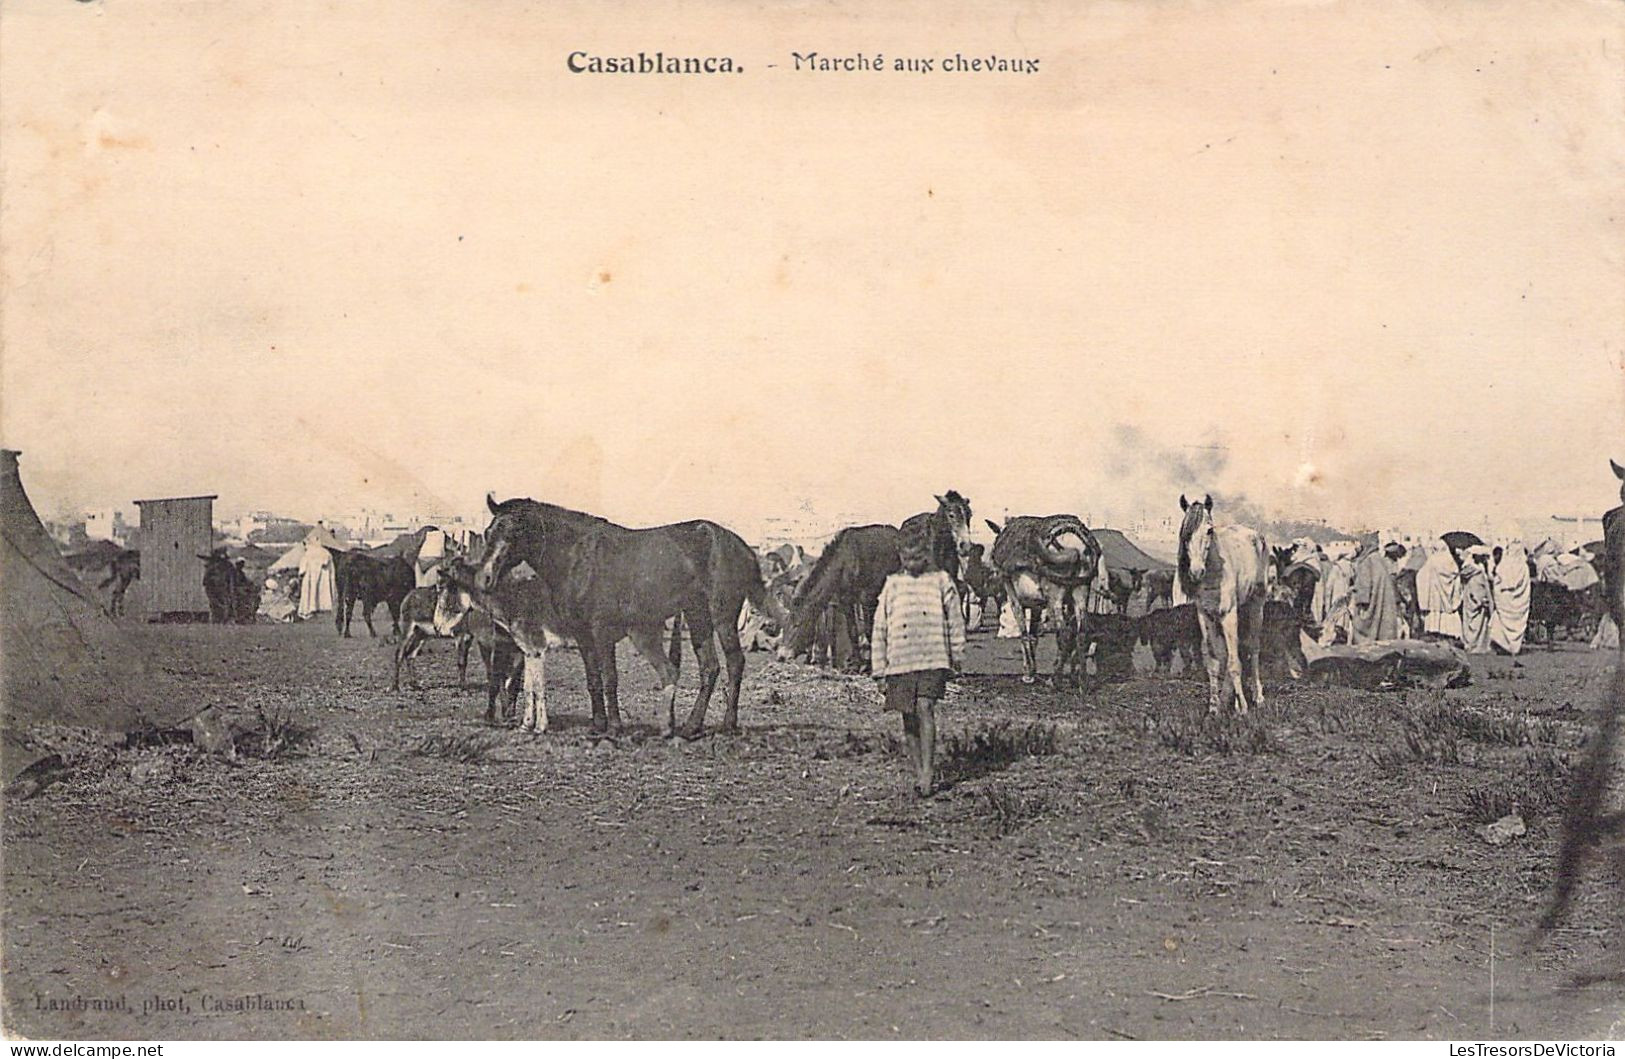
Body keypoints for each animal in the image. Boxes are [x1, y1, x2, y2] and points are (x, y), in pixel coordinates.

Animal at [474, 497, 786, 737]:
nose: (484, 578)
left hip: (722, 618)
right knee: (709, 667)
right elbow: (593, 679)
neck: (577, 556)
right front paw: (598, 726)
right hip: (697, 617)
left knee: (735, 663)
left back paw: (727, 724)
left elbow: (610, 678)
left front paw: (614, 727)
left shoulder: (601, 632)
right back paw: (690, 727)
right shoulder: (583, 634)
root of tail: (740, 546)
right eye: (489, 532)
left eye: (514, 533)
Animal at [988, 513, 1105, 685]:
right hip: (1081, 590)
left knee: (1063, 633)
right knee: (1082, 632)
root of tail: (1074, 541)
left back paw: (1055, 681)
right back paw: (1081, 681)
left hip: (1054, 596)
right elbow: (1034, 636)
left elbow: (1024, 634)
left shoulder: (1014, 599)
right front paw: (1034, 671)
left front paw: (1028, 673)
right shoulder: (1037, 606)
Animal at [1176, 493, 1274, 711]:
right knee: (1229, 653)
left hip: (1256, 606)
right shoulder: (1206, 616)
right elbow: (1214, 661)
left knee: (1253, 648)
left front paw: (1243, 707)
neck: (1214, 574)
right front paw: (1215, 705)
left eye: (1209, 530)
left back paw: (1258, 697)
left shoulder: (1229, 614)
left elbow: (1234, 662)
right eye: (1185, 530)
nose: (1196, 572)